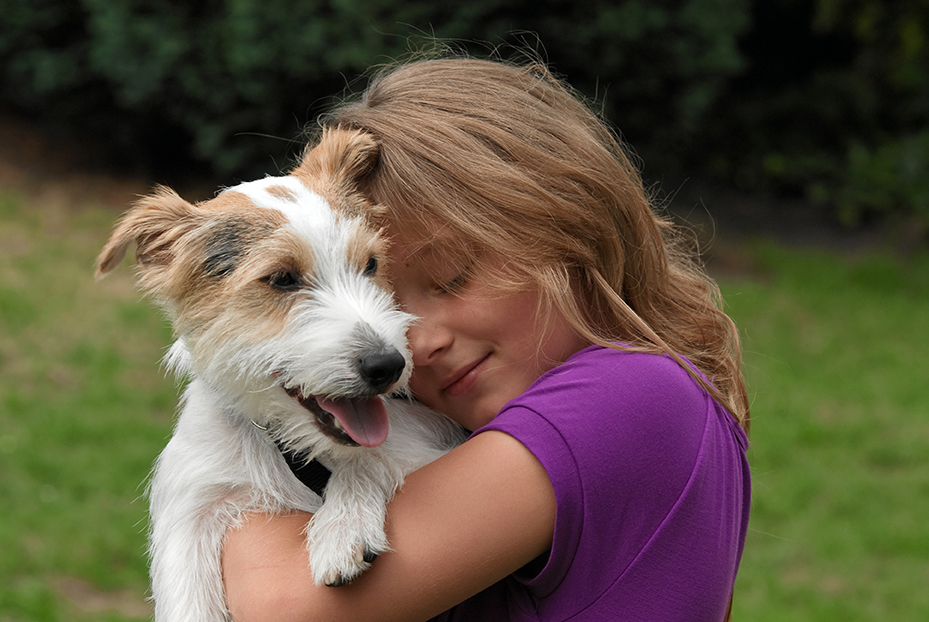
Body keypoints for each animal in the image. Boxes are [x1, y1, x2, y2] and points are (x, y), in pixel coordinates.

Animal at [96, 129, 464, 620]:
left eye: (370, 264)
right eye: (282, 278)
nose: (387, 365)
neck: (288, 446)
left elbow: (373, 459)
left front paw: (341, 528)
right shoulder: (190, 507)